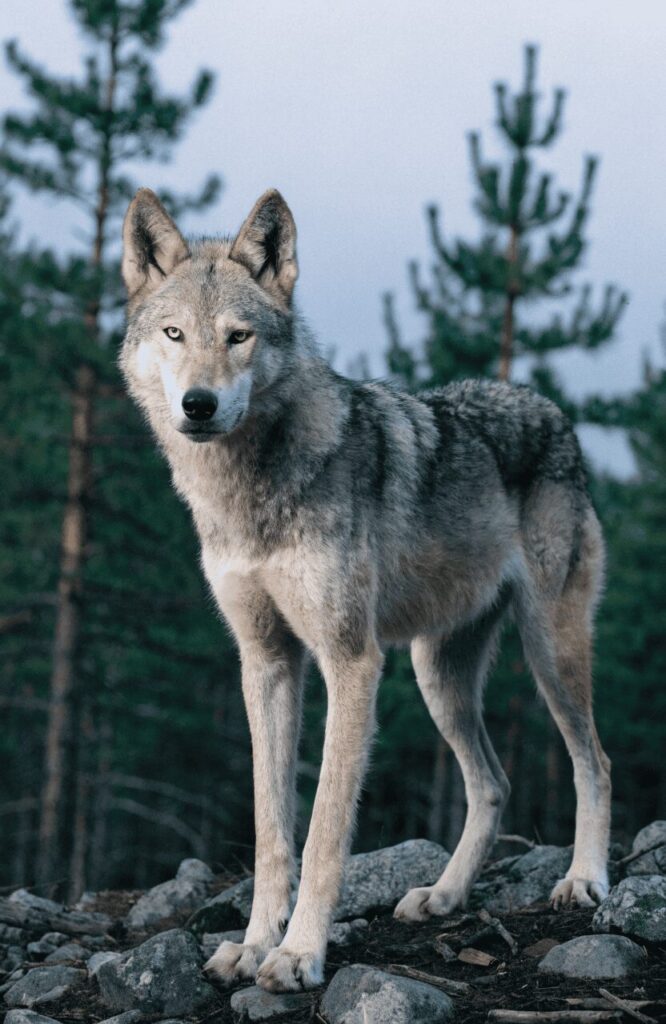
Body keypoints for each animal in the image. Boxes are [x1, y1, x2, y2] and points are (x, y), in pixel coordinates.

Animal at [119, 187, 611, 993]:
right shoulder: (266, 663)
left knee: (593, 762)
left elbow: (323, 830)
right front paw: (252, 946)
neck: (249, 492)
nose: (198, 404)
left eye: (238, 337)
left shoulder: (351, 661)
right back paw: (443, 894)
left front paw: (298, 955)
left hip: (548, 654)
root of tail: (551, 410)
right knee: (493, 783)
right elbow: (271, 829)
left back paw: (584, 880)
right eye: (174, 333)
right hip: (438, 676)